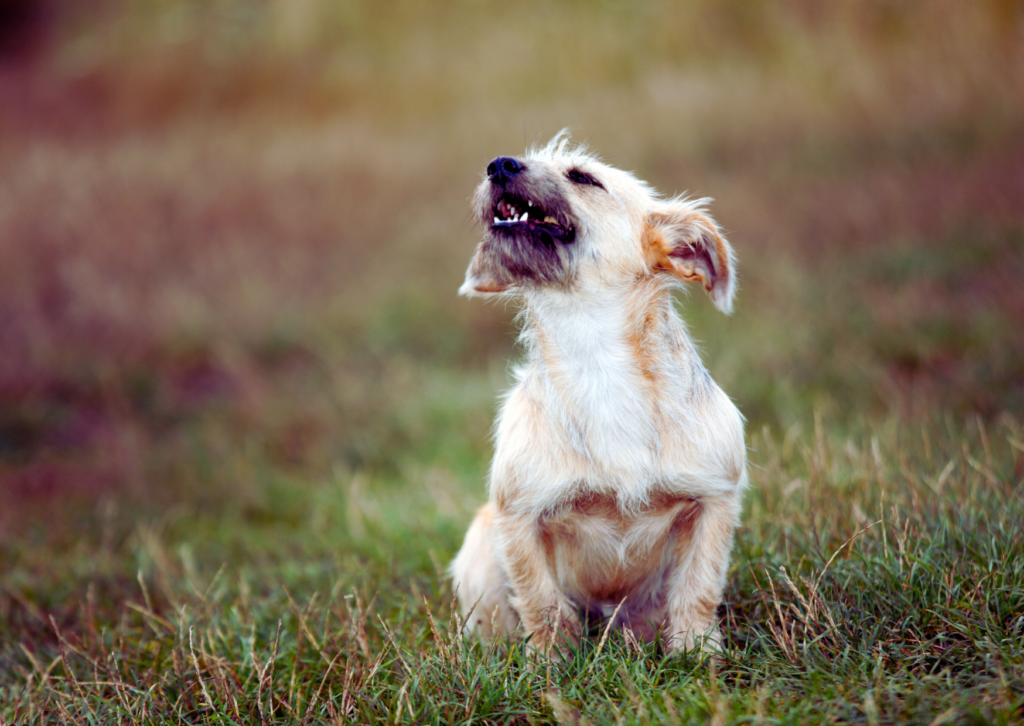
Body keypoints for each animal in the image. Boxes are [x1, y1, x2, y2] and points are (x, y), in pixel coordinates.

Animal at [448, 132, 745, 655]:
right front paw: (549, 662)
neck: (595, 355)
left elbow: (698, 588)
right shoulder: (518, 517)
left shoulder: (715, 500)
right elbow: (542, 604)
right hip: (479, 550)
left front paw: (696, 653)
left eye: (583, 177)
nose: (498, 165)